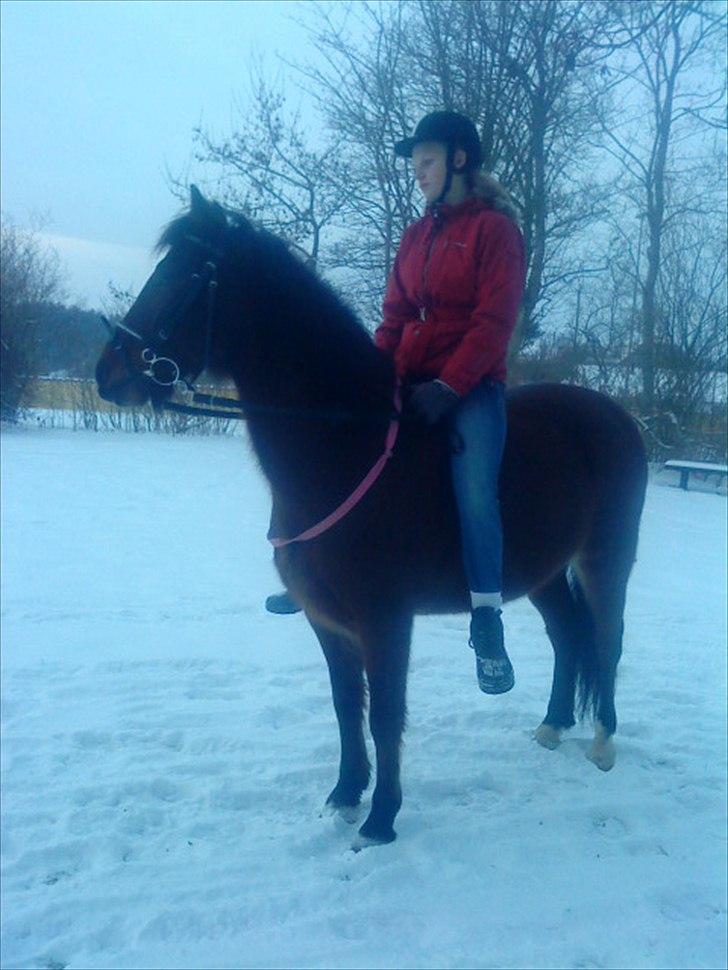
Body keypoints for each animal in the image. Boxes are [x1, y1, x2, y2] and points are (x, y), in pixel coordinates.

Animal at [96, 186, 648, 846]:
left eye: (189, 275)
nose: (108, 374)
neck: (345, 446)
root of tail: (617, 417)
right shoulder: (328, 621)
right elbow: (345, 707)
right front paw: (344, 794)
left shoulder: (386, 619)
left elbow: (385, 713)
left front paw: (381, 819)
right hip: (540, 571)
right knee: (567, 634)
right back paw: (553, 725)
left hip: (605, 557)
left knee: (608, 637)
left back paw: (604, 741)